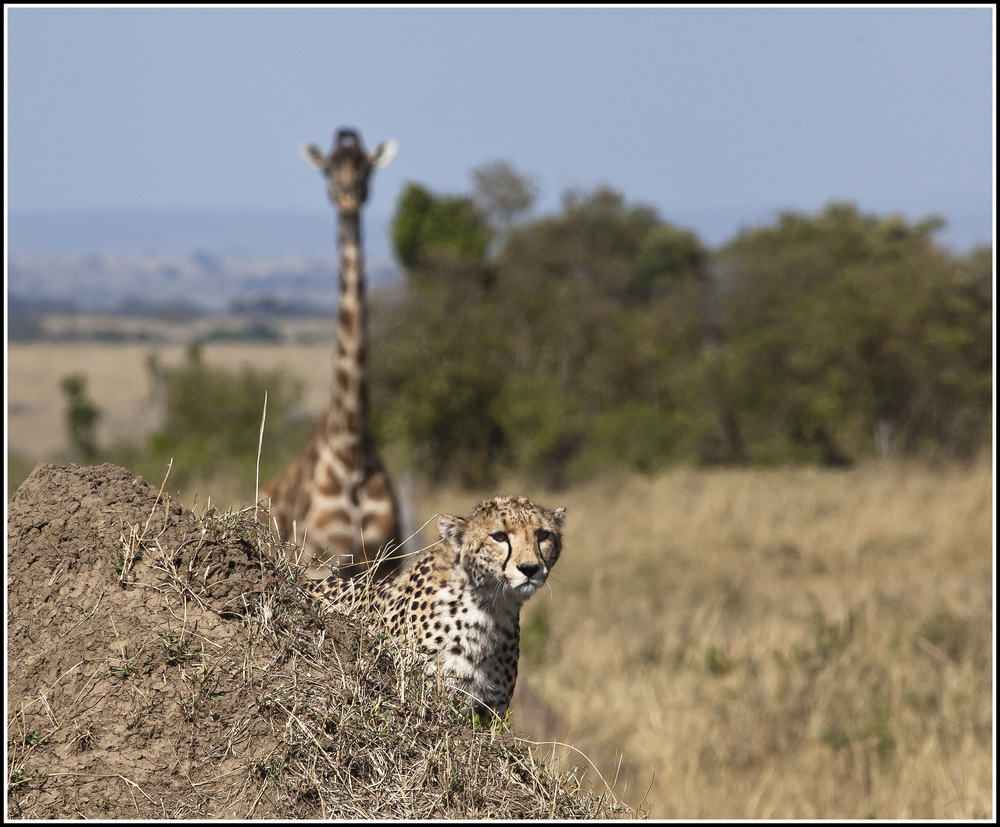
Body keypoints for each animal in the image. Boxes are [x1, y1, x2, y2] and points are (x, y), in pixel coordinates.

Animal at [266, 129, 406, 584]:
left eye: (365, 168)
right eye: (329, 169)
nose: (348, 197)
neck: (351, 450)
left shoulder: (384, 563)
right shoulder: (320, 562)